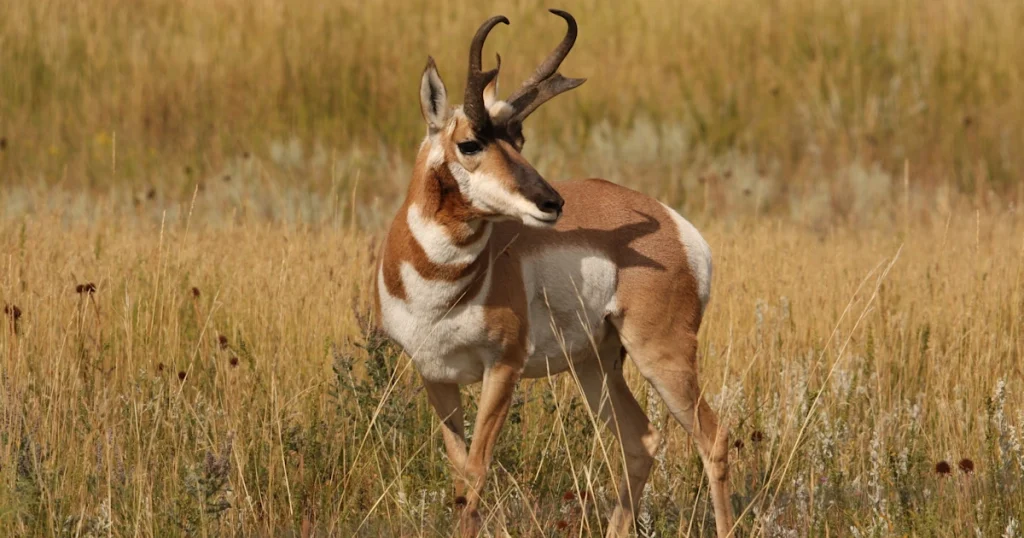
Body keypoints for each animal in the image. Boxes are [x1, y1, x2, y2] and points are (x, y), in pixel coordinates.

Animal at [374, 10, 734, 537]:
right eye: (469, 143)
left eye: (519, 140)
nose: (551, 202)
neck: (439, 285)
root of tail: (674, 224)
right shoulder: (434, 375)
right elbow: (459, 473)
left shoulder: (502, 368)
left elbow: (477, 470)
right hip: (596, 365)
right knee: (641, 441)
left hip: (662, 356)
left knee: (714, 438)